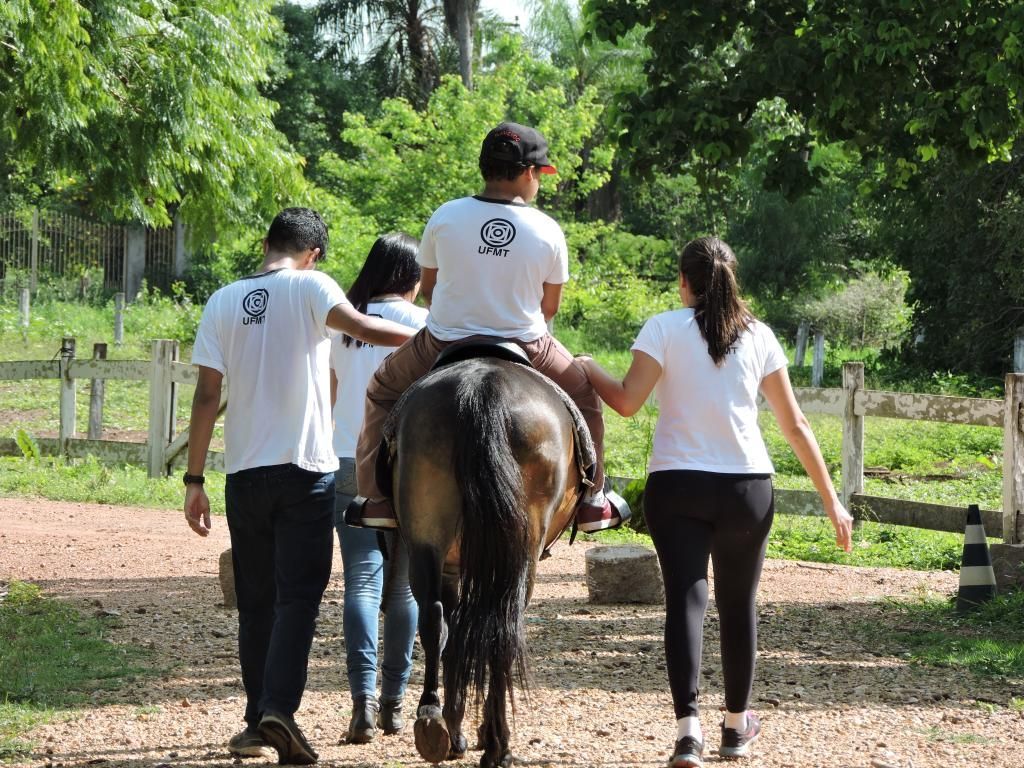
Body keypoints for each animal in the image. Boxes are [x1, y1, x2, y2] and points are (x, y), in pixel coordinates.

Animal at [380, 354, 581, 768]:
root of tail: (482, 388)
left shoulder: (451, 566)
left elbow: (454, 635)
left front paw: (453, 728)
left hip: (426, 537)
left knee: (435, 620)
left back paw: (432, 723)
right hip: (520, 555)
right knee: (502, 629)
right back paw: (496, 743)